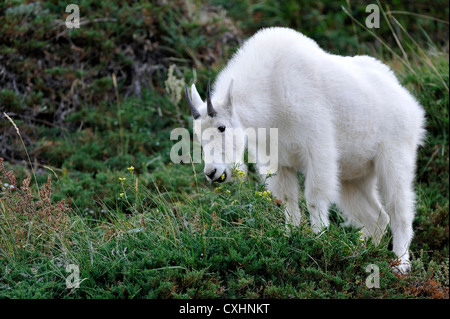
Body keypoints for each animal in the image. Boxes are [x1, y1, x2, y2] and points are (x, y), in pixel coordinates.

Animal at [185, 26, 426, 272]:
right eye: (198, 136)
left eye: (222, 127)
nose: (212, 172)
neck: (272, 92)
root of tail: (408, 101)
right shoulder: (278, 161)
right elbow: (288, 202)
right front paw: (291, 238)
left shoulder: (317, 149)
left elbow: (314, 199)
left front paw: (319, 242)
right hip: (353, 177)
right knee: (377, 218)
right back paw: (361, 254)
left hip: (395, 156)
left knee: (400, 212)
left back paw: (400, 265)